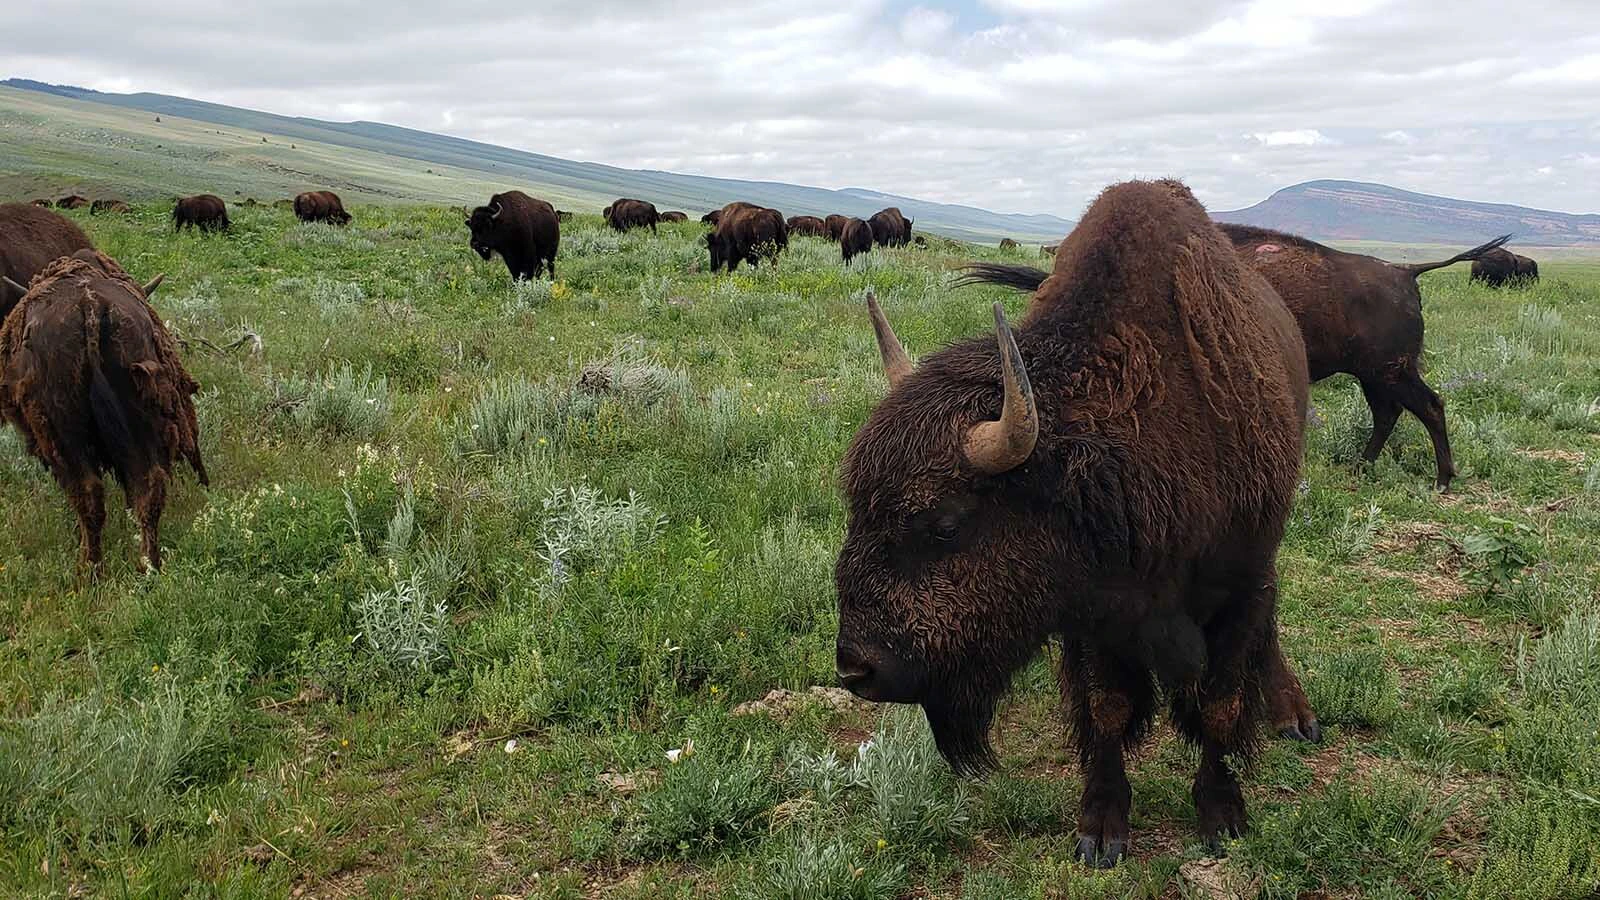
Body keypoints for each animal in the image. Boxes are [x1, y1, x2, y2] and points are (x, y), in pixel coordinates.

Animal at [0, 250, 205, 572]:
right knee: (149, 485)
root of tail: (90, 306)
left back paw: (90, 570)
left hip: (65, 432)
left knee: (88, 494)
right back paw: (149, 566)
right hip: (140, 419)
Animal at [836, 180, 1311, 867]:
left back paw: (1292, 712)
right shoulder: (1092, 612)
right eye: (856, 506)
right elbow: (1108, 707)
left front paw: (1222, 815)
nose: (857, 670)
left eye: (946, 523)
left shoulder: (1239, 585)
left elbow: (1221, 704)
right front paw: (1102, 828)